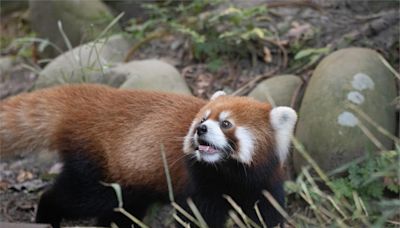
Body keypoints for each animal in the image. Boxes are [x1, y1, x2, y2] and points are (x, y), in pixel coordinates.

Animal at [0, 84, 296, 228]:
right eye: (203, 119)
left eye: (225, 124)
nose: (200, 129)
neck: (230, 176)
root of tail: (89, 101)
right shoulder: (199, 184)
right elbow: (197, 218)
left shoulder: (264, 184)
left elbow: (266, 216)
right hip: (99, 168)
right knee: (74, 197)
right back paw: (46, 216)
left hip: (130, 183)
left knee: (118, 213)